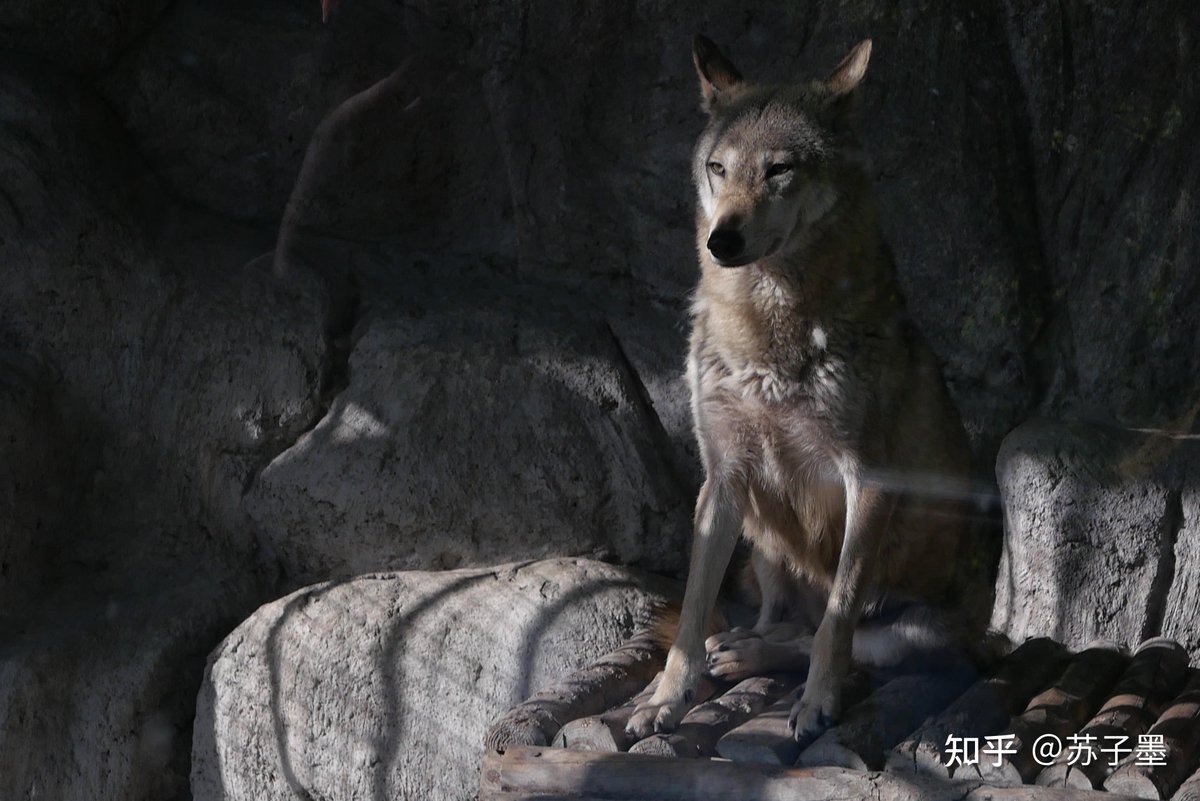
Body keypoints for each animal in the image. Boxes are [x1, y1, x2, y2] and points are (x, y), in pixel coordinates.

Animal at [625, 36, 993, 745]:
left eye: (780, 170)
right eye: (719, 168)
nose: (722, 239)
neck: (766, 331)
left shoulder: (868, 480)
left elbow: (837, 618)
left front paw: (818, 704)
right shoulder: (723, 477)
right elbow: (692, 610)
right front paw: (666, 698)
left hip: (911, 628)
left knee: (821, 635)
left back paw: (754, 657)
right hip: (761, 540)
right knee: (775, 619)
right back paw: (738, 647)